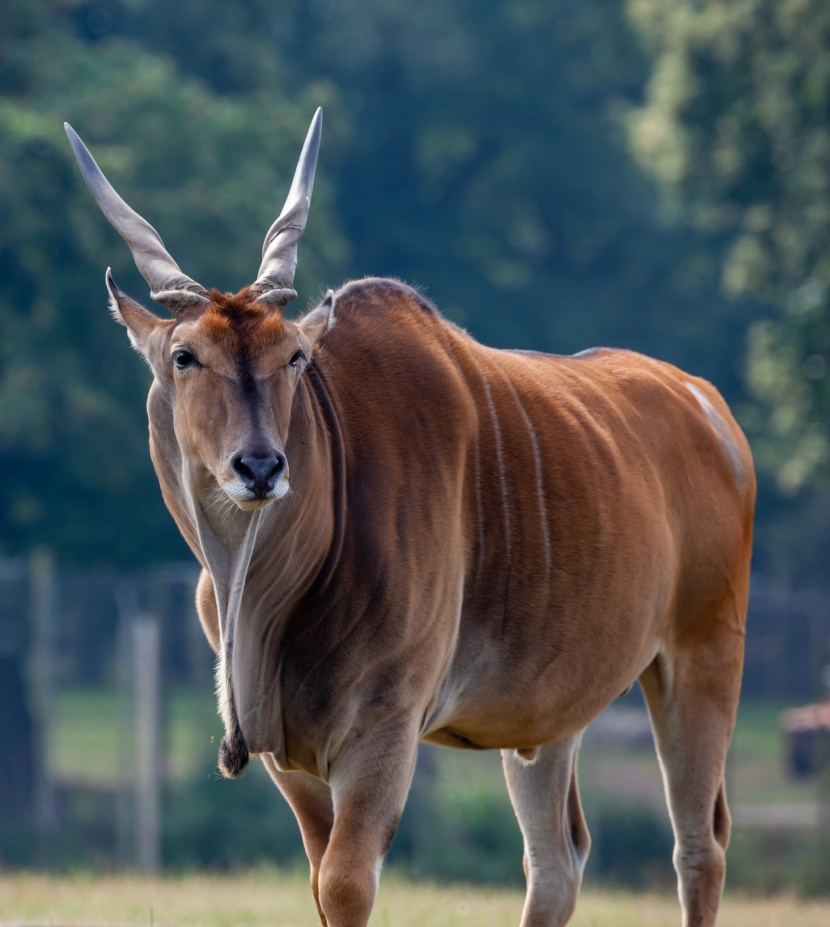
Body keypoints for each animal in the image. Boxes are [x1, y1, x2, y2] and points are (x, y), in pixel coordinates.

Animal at [68, 110, 756, 927]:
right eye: (184, 355)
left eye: (293, 355)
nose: (260, 467)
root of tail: (706, 404)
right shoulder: (290, 761)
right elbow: (320, 882)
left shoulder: (384, 727)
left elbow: (345, 883)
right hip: (550, 713)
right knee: (558, 859)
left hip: (703, 656)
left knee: (699, 846)